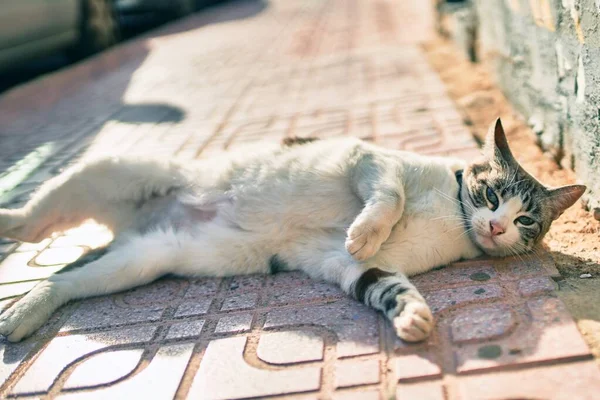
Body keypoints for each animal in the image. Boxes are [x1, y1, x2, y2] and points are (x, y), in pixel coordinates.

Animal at [0, 117, 584, 342]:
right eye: (491, 195)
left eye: (526, 219)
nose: (497, 227)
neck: (453, 219)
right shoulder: (370, 160)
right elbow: (389, 197)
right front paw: (366, 229)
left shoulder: (350, 266)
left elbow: (382, 284)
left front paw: (412, 315)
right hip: (111, 167)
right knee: (39, 216)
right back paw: (12, 218)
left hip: (140, 262)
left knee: (66, 280)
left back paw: (24, 311)